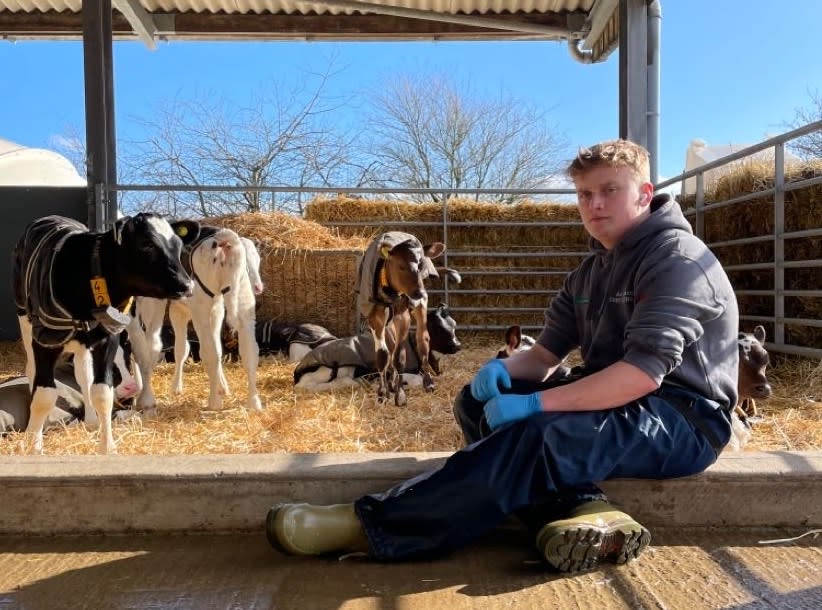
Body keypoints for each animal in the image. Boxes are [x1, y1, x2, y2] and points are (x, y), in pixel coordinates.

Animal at [13, 214, 197, 452]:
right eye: (146, 244)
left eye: (178, 244)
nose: (187, 285)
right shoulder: (45, 339)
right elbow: (44, 395)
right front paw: (33, 446)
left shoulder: (107, 338)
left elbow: (102, 392)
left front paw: (107, 447)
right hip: (24, 318)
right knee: (32, 369)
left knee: (87, 371)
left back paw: (94, 420)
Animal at [296, 302, 464, 390]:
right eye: (437, 328)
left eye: (455, 325)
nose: (458, 345)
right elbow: (415, 379)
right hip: (335, 368)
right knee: (310, 385)